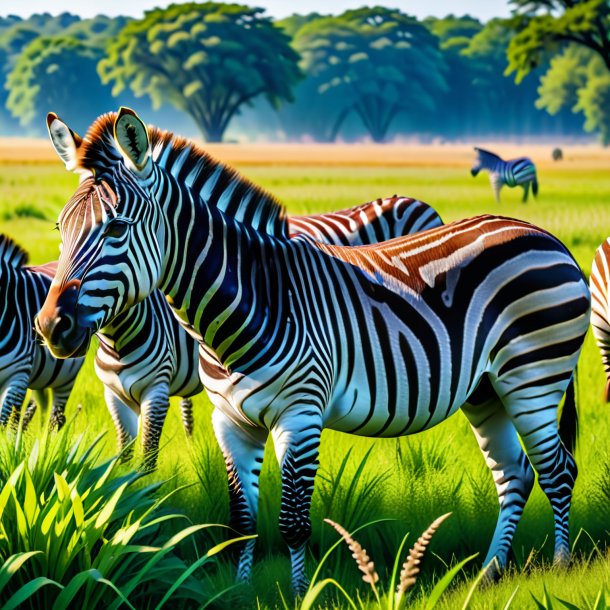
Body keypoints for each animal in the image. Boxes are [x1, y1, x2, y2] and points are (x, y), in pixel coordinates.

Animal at [35, 108, 588, 588]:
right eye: (61, 229)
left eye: (115, 228)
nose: (50, 325)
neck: (251, 303)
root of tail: (544, 234)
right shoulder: (229, 420)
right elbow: (242, 520)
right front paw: (241, 590)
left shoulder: (300, 415)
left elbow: (294, 521)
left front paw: (300, 592)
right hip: (486, 389)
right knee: (514, 474)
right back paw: (489, 573)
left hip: (533, 377)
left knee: (557, 470)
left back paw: (561, 565)